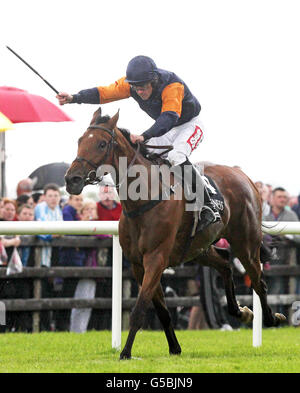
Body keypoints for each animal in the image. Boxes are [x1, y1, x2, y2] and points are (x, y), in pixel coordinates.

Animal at [64, 107, 284, 358]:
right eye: (80, 140)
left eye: (101, 144)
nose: (72, 179)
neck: (143, 199)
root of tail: (244, 177)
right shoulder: (139, 264)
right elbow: (161, 310)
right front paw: (174, 348)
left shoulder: (156, 258)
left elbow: (140, 309)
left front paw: (125, 353)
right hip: (198, 248)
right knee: (225, 262)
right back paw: (241, 312)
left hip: (245, 244)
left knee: (258, 281)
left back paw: (271, 318)